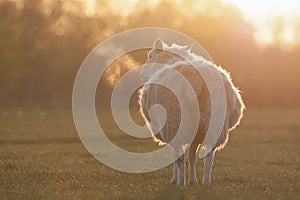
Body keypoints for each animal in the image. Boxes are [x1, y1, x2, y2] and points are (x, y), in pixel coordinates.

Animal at [138, 38, 244, 186]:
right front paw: (193, 180)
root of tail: (196, 78)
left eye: (150, 55)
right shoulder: (197, 134)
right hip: (214, 124)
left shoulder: (170, 130)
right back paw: (206, 182)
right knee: (209, 157)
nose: (141, 72)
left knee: (180, 158)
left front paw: (175, 179)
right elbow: (192, 156)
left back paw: (180, 183)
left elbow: (176, 156)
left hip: (175, 122)